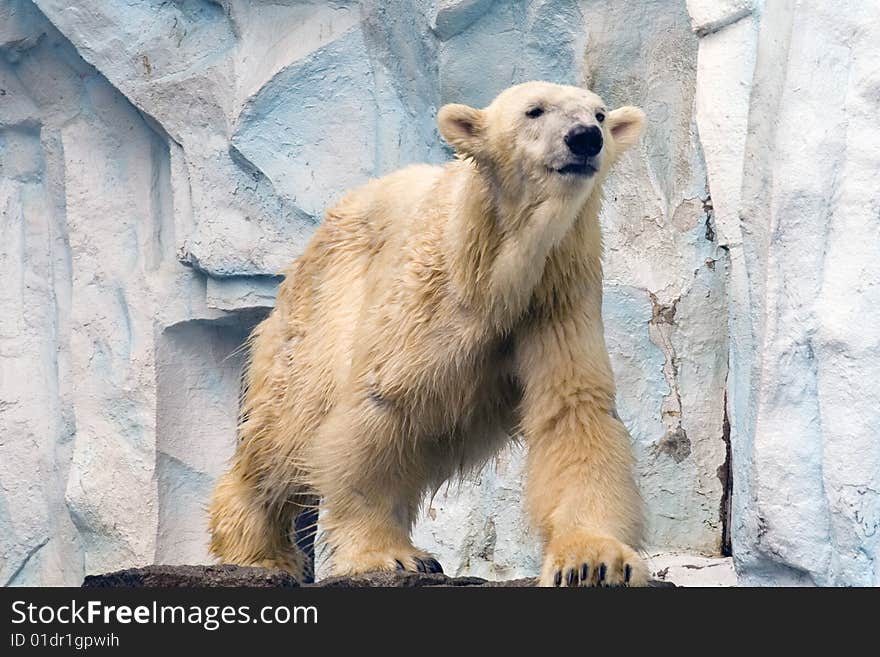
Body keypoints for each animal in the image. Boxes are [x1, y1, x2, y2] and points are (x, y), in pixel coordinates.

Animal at [206, 79, 648, 588]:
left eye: (599, 114)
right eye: (535, 111)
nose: (584, 138)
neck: (491, 268)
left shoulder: (556, 296)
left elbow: (574, 413)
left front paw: (593, 561)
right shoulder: (427, 298)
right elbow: (382, 406)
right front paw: (391, 555)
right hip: (321, 308)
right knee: (288, 425)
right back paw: (256, 551)